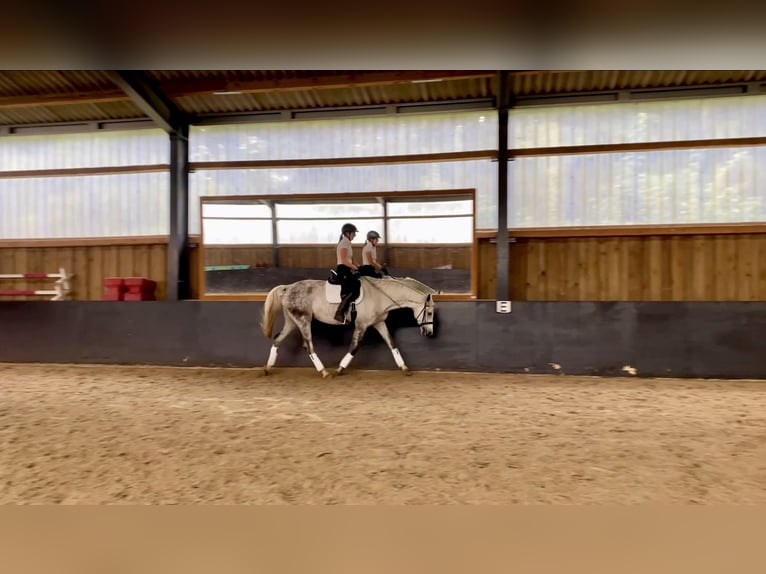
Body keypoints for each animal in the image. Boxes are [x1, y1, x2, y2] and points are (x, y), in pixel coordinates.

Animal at [260, 276, 436, 380]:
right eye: (429, 312)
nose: (429, 333)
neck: (379, 295)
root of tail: (287, 288)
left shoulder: (379, 323)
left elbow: (392, 344)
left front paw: (405, 368)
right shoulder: (361, 325)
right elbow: (354, 347)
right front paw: (340, 368)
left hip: (291, 321)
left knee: (277, 340)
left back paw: (267, 368)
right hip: (303, 320)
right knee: (308, 346)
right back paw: (324, 372)